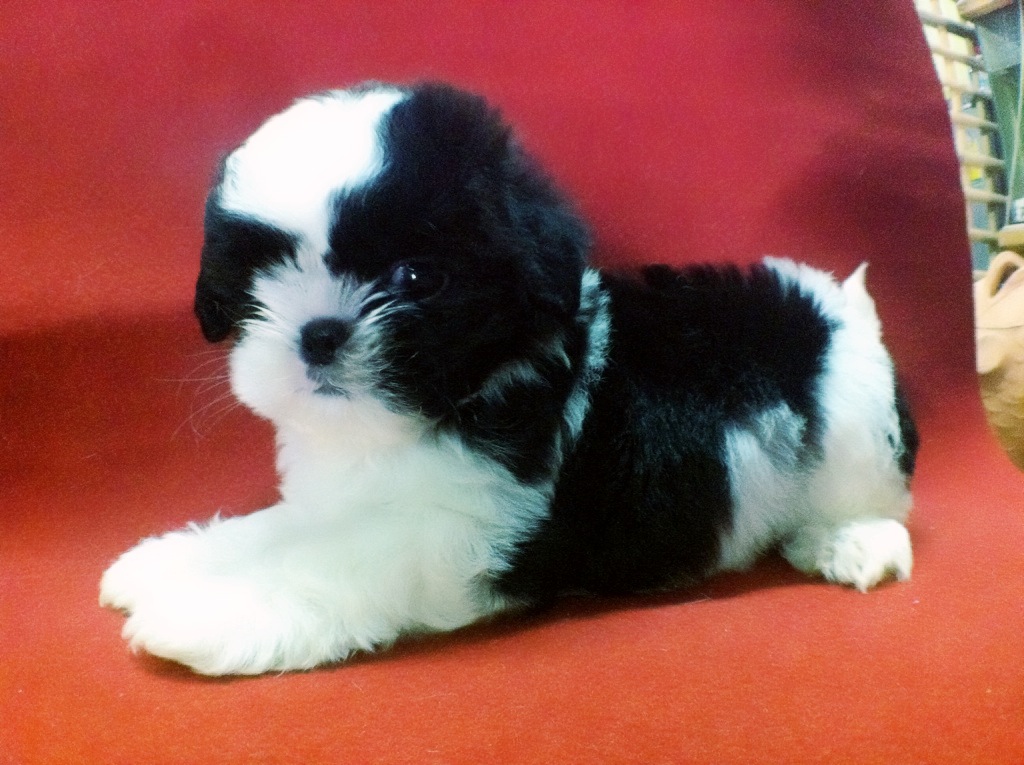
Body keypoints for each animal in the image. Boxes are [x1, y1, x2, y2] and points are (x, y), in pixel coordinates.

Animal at [100, 82, 919, 675]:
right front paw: (175, 562)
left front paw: (207, 612)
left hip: (851, 428)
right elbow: (283, 529)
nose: (320, 332)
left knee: (873, 501)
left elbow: (335, 561)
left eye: (416, 277)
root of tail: (831, 311)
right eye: (259, 277)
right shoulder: (345, 496)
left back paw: (851, 540)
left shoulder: (465, 531)